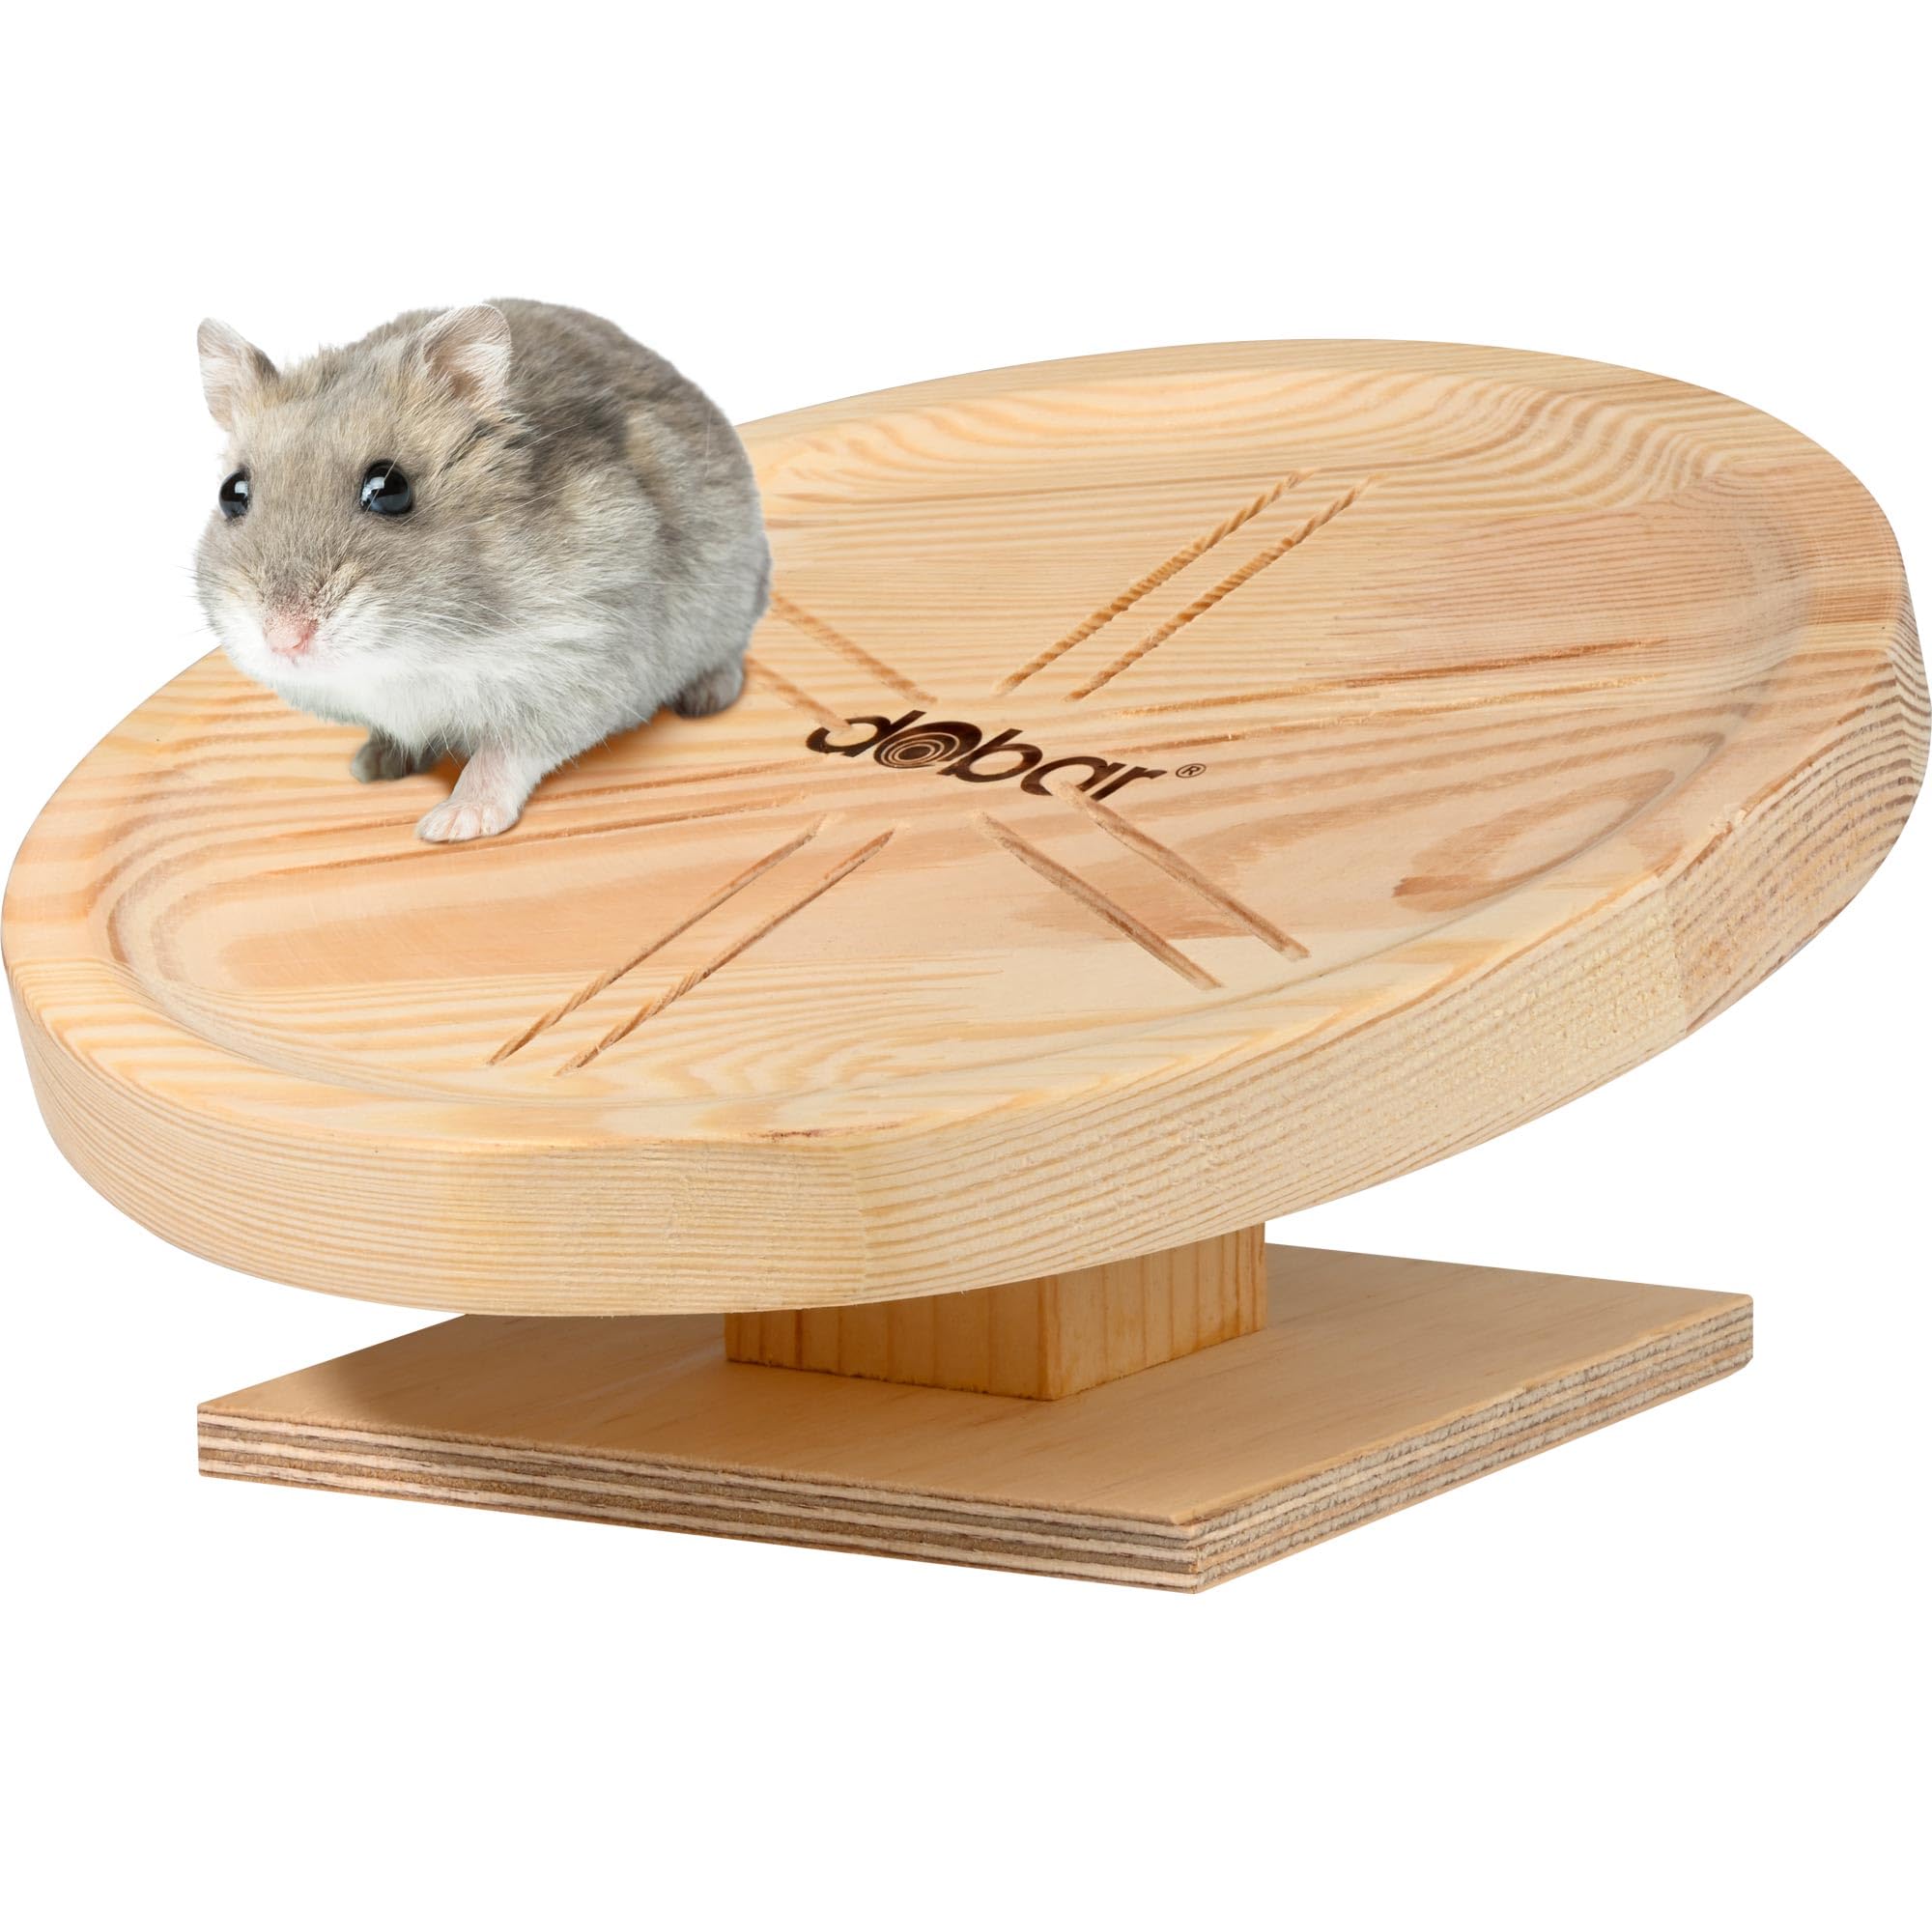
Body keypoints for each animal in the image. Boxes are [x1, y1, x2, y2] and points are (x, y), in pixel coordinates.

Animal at [193, 300, 771, 841]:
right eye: (231, 493)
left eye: (389, 489)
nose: (284, 640)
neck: (408, 657)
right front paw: (371, 764)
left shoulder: (582, 670)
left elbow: (503, 754)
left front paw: (452, 824)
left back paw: (705, 700)